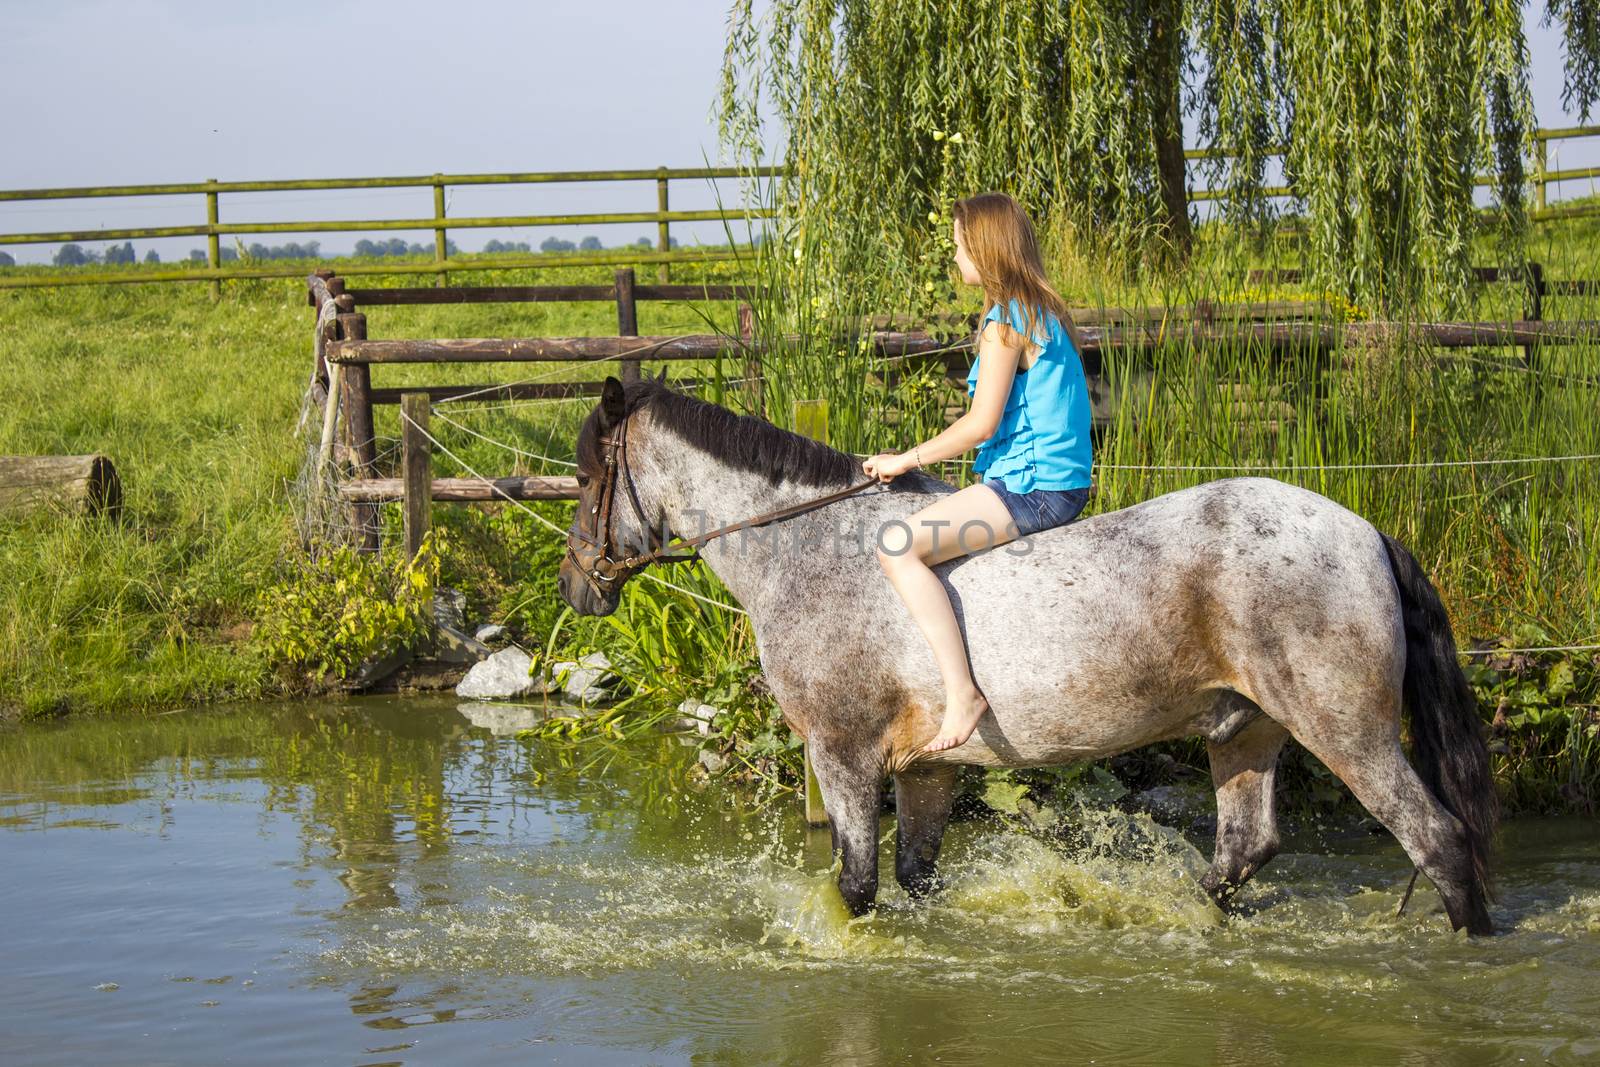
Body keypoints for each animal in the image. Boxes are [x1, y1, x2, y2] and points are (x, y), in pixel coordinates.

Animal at [556, 375, 1491, 934]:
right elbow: (916, 876)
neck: (809, 547)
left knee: (1438, 840)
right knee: (1243, 851)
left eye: (585, 479)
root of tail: (1365, 531)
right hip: (1246, 731)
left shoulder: (842, 753)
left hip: (1348, 732)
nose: (576, 587)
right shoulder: (928, 767)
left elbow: (857, 887)